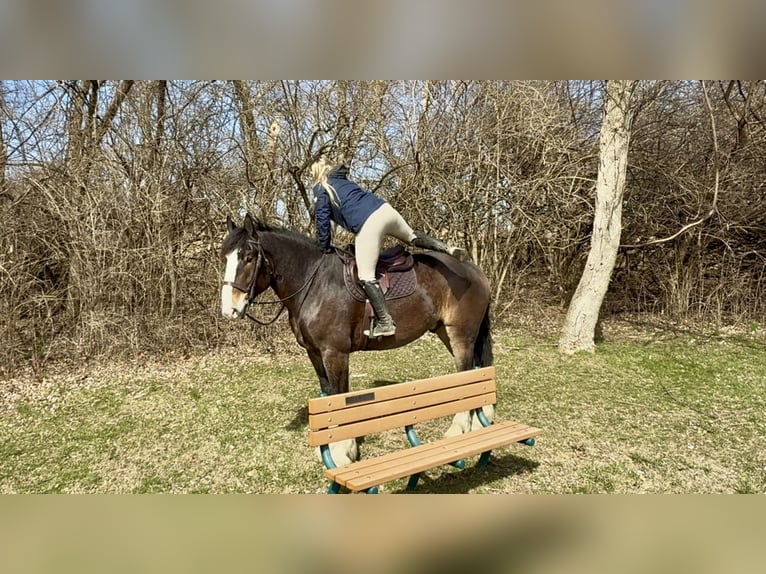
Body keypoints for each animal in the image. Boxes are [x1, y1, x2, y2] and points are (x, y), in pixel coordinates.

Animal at [220, 213, 494, 464]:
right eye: (225, 257)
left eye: (248, 257)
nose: (229, 309)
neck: (314, 284)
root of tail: (473, 269)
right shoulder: (315, 353)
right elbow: (329, 394)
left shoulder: (335, 353)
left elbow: (340, 398)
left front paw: (343, 450)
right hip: (447, 333)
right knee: (477, 370)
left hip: (460, 335)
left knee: (466, 373)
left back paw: (458, 428)